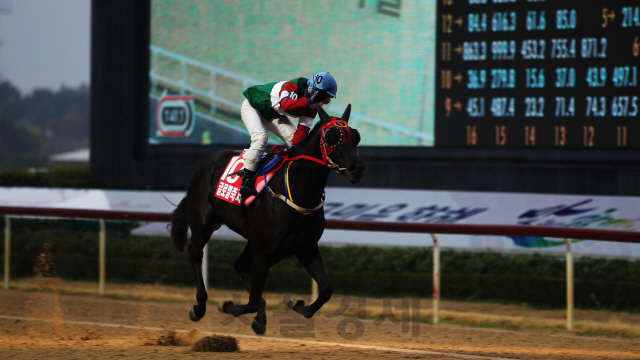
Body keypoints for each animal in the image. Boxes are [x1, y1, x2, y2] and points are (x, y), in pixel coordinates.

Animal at [168, 103, 364, 334]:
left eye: (355, 136)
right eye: (332, 136)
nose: (357, 168)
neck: (296, 191)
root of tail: (208, 161)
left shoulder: (304, 246)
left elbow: (325, 291)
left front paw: (296, 304)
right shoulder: (265, 249)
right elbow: (252, 301)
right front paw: (228, 306)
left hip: (252, 238)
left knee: (240, 265)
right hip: (203, 223)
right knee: (196, 253)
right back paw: (199, 306)